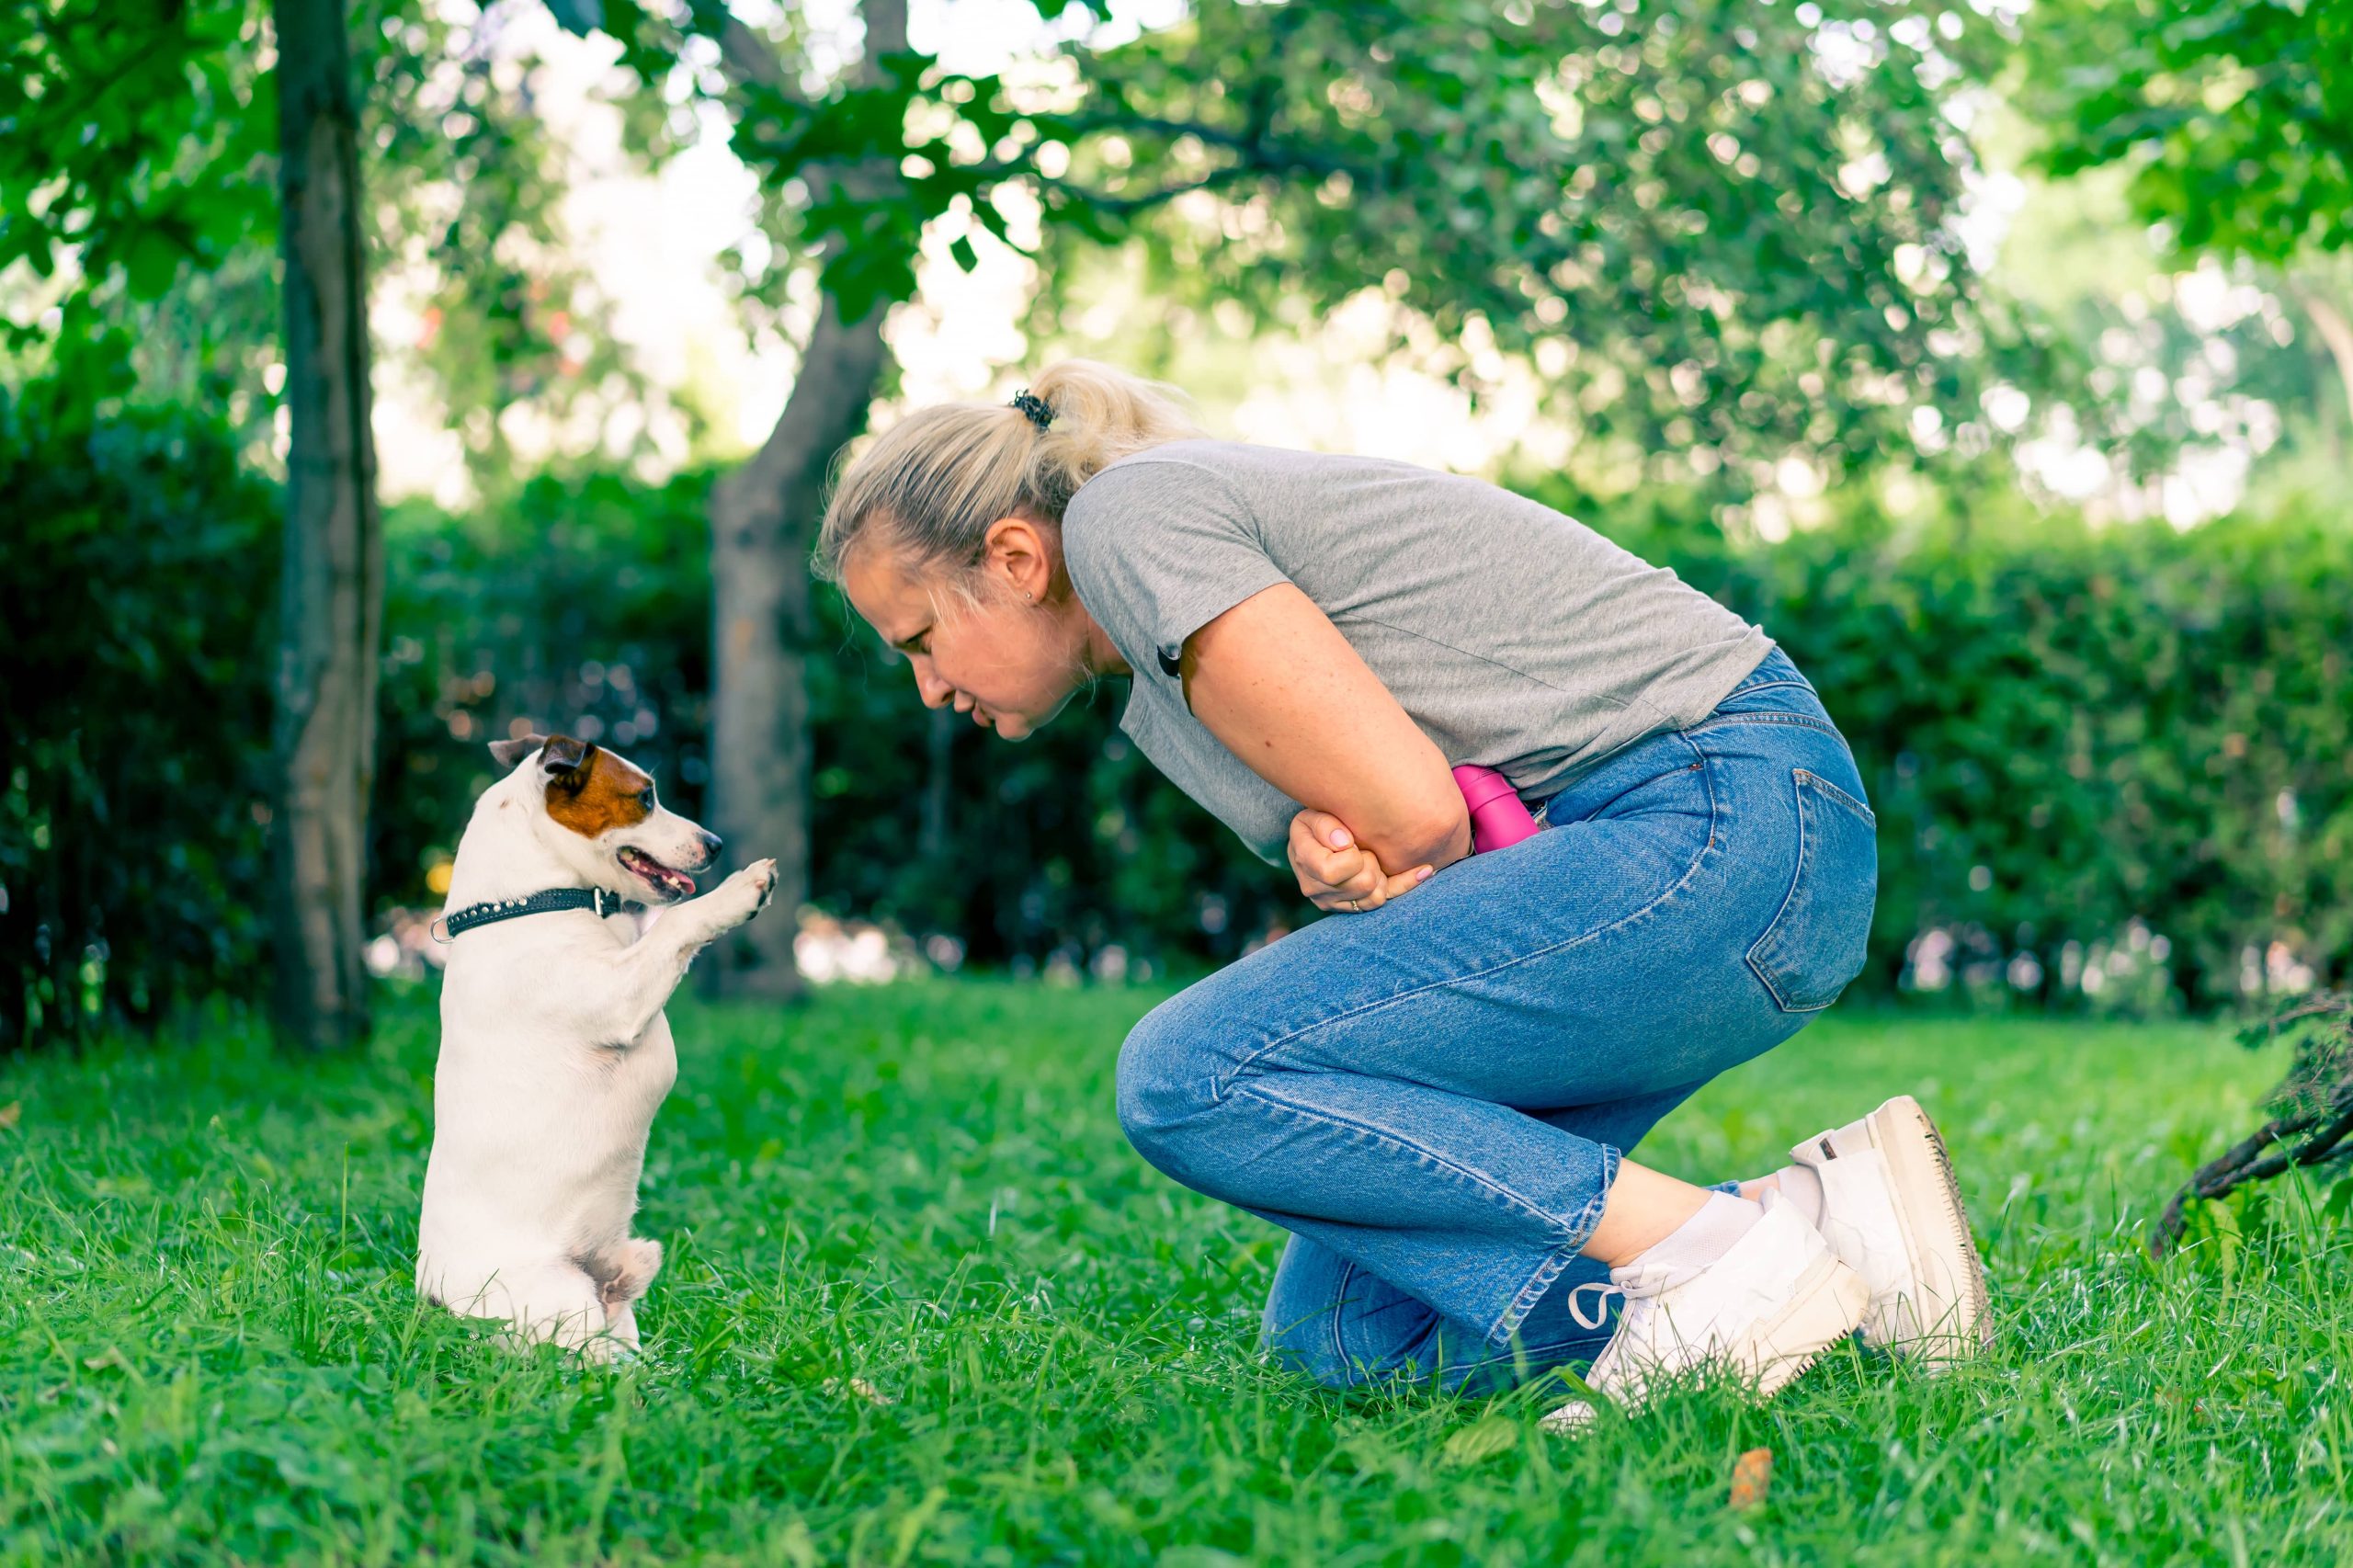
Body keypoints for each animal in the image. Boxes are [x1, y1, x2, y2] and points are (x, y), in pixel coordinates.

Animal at [409, 734, 767, 1356]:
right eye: (645, 798)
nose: (716, 845)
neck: (529, 902)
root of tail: (441, 1310)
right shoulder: (620, 995)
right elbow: (679, 926)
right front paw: (741, 891)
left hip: (611, 1314)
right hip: (561, 1303)